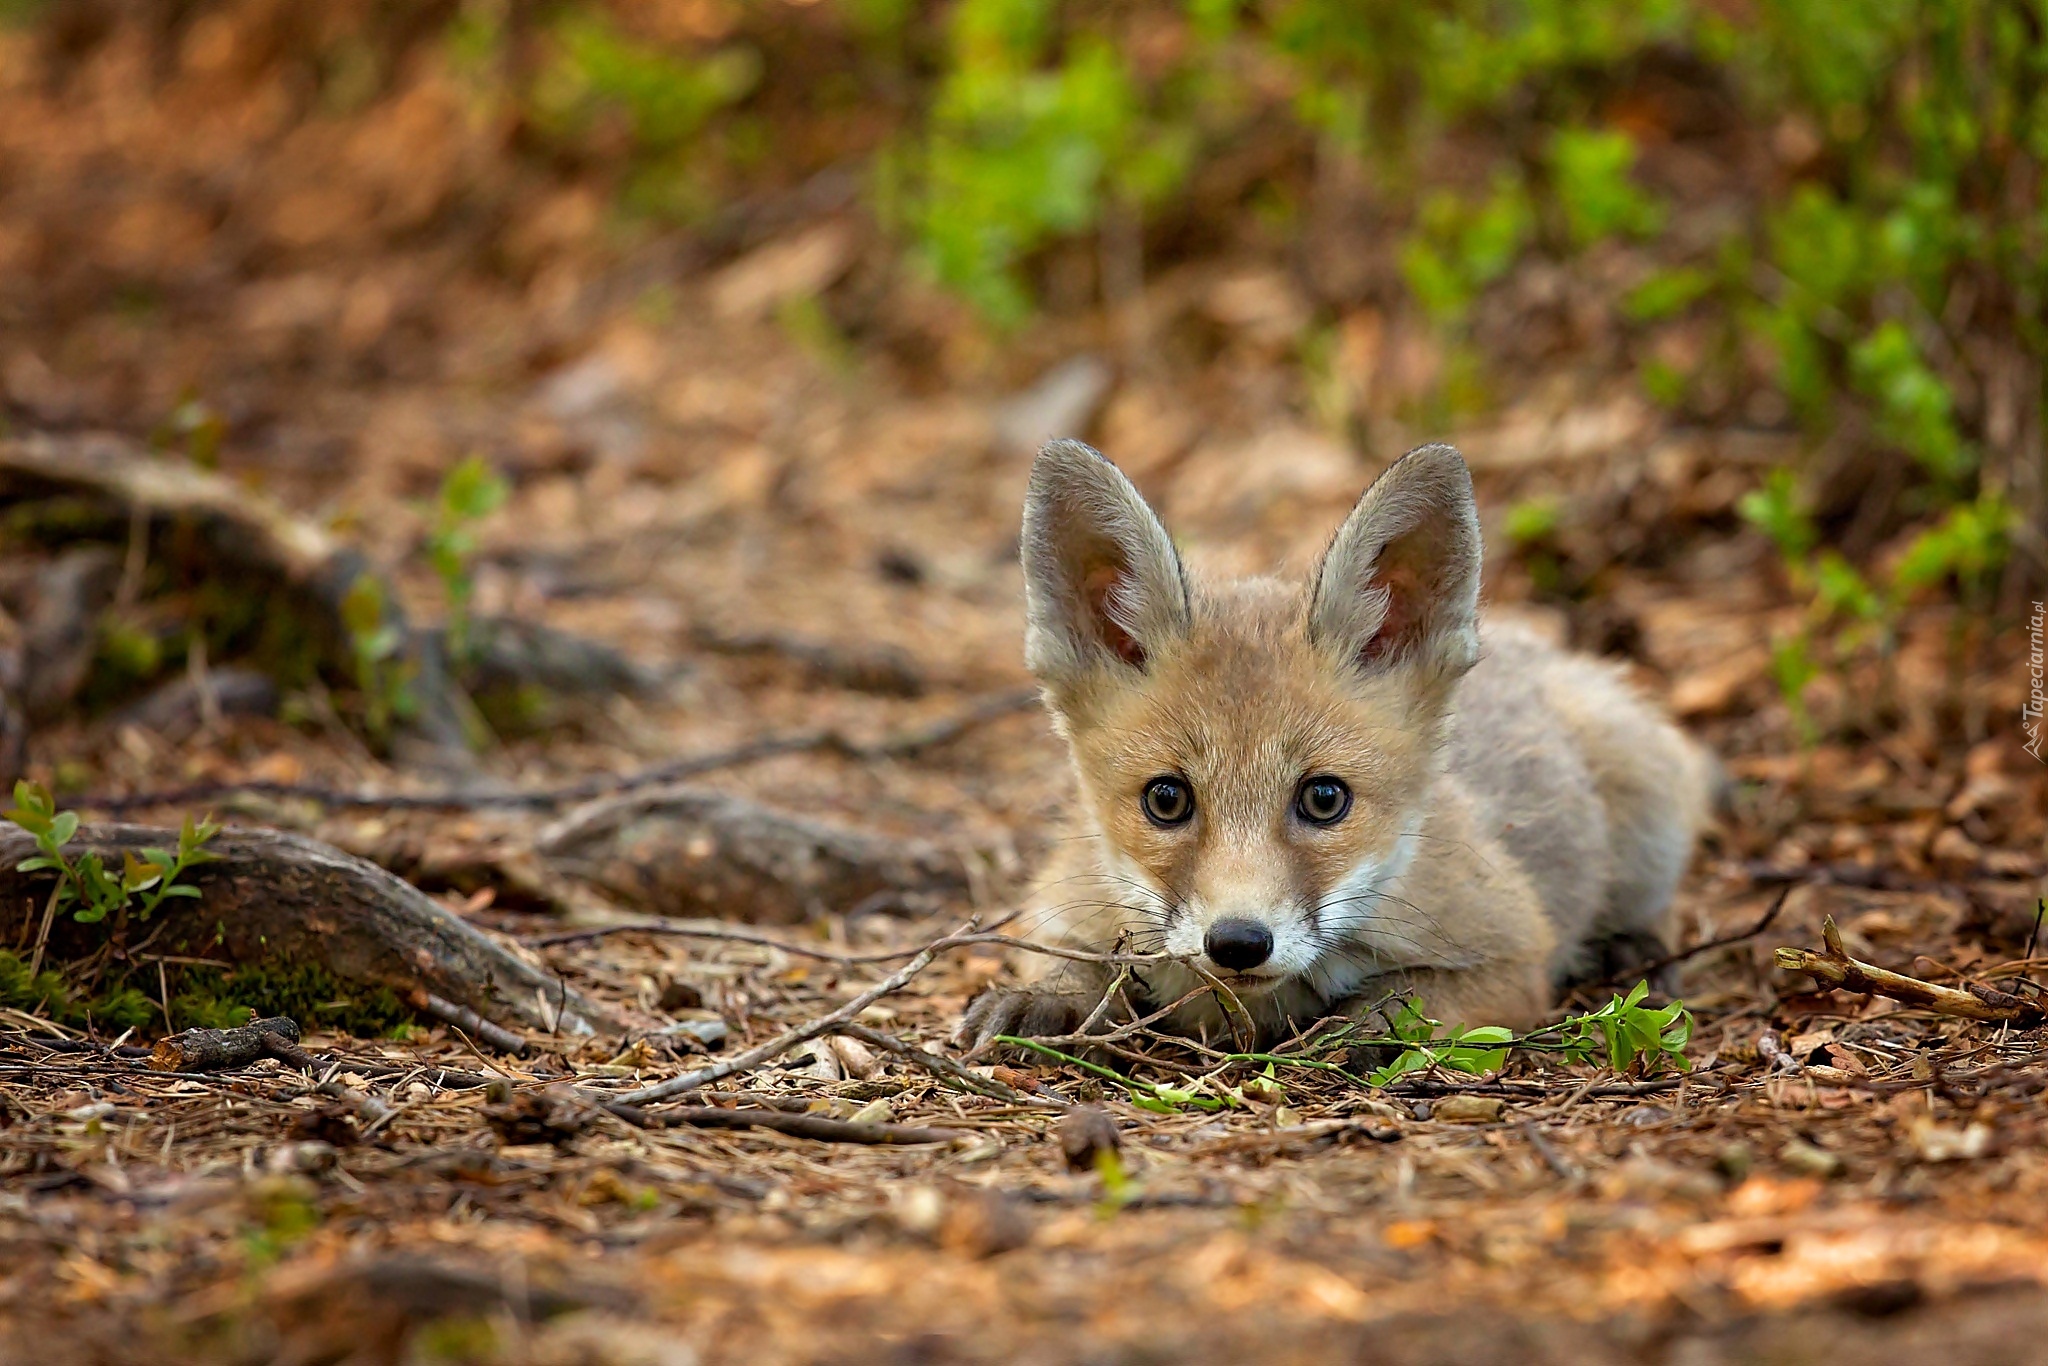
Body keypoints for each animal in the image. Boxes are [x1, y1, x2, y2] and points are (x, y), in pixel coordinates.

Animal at [958, 444, 1712, 1056]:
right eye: (1166, 799)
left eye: (1324, 798)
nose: (1238, 942)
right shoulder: (1064, 897)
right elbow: (1061, 957)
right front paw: (1043, 999)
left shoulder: (1513, 949)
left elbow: (1409, 1001)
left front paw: (1356, 1030)